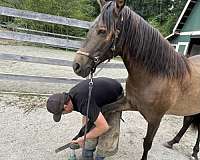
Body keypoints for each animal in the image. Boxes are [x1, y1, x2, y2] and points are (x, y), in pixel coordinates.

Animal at [72, 0, 200, 159]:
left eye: (102, 31)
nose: (77, 65)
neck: (155, 76)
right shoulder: (129, 103)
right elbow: (102, 110)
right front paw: (80, 136)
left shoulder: (155, 120)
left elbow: (147, 144)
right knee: (188, 122)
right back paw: (173, 143)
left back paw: (193, 151)